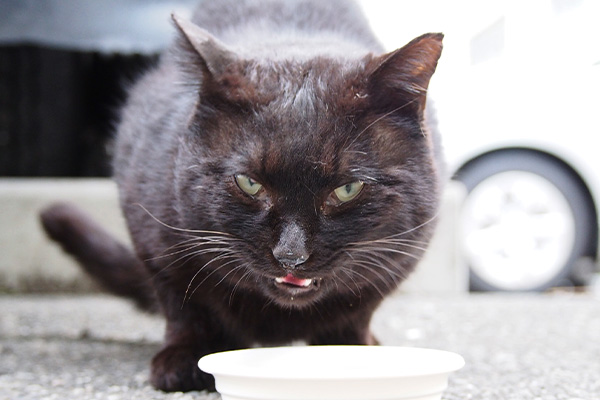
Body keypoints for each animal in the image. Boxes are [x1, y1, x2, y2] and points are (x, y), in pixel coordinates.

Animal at [39, 0, 442, 394]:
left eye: (347, 189)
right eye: (249, 183)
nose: (290, 255)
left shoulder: (394, 263)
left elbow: (356, 312)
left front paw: (357, 354)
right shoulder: (157, 243)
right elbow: (184, 306)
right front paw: (185, 359)